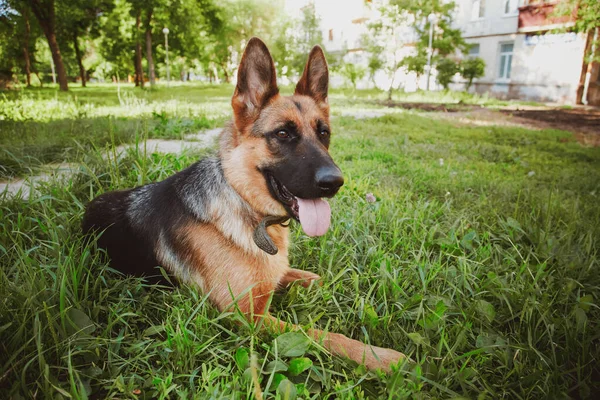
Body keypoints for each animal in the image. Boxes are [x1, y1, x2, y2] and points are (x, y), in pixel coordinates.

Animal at [82, 37, 406, 372]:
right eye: (283, 133)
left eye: (324, 133)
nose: (335, 182)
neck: (246, 203)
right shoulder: (250, 317)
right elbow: (320, 334)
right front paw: (378, 356)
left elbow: (301, 276)